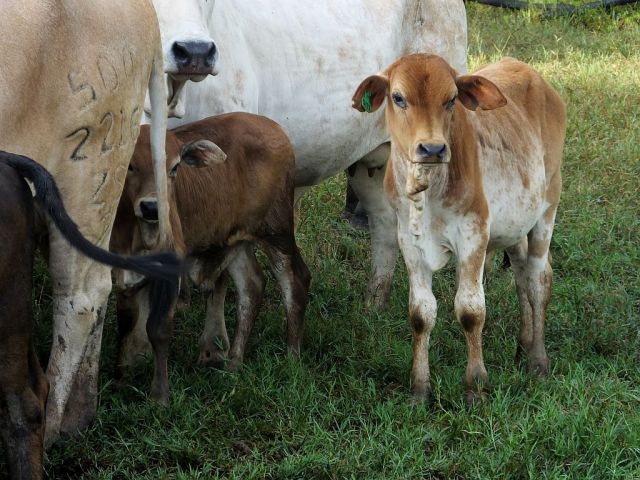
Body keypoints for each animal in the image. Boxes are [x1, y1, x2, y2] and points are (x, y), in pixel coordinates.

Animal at [0, 0, 172, 445]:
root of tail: (147, 11)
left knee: (81, 296)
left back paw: (53, 426)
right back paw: (80, 413)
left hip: (88, 172)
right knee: (100, 286)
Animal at [110, 113, 311, 404]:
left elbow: (158, 329)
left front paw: (160, 396)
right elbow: (126, 323)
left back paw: (292, 359)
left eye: (174, 167)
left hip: (277, 231)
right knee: (252, 286)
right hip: (235, 239)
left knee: (296, 281)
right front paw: (119, 379)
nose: (151, 208)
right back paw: (234, 362)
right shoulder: (121, 271)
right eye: (130, 166)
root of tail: (273, 127)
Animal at [352, 54, 566, 403]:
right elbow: (421, 314)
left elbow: (470, 311)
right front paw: (419, 389)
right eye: (398, 97)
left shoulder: (473, 234)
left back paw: (537, 359)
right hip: (515, 225)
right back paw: (521, 347)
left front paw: (475, 385)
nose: (432, 149)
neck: (428, 191)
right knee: (522, 274)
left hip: (548, 206)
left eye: (451, 99)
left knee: (538, 279)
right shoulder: (409, 241)